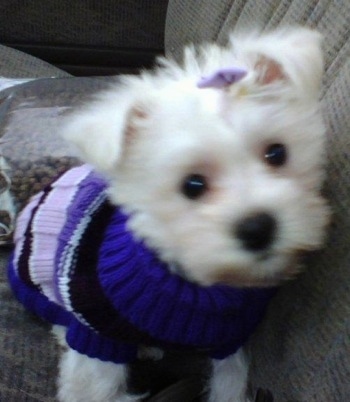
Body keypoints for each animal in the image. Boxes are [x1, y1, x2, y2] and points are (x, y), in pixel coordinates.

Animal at [10, 27, 330, 402]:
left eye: (277, 153)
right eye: (192, 185)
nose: (258, 228)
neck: (195, 286)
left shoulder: (231, 342)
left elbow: (230, 382)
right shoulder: (97, 336)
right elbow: (90, 385)